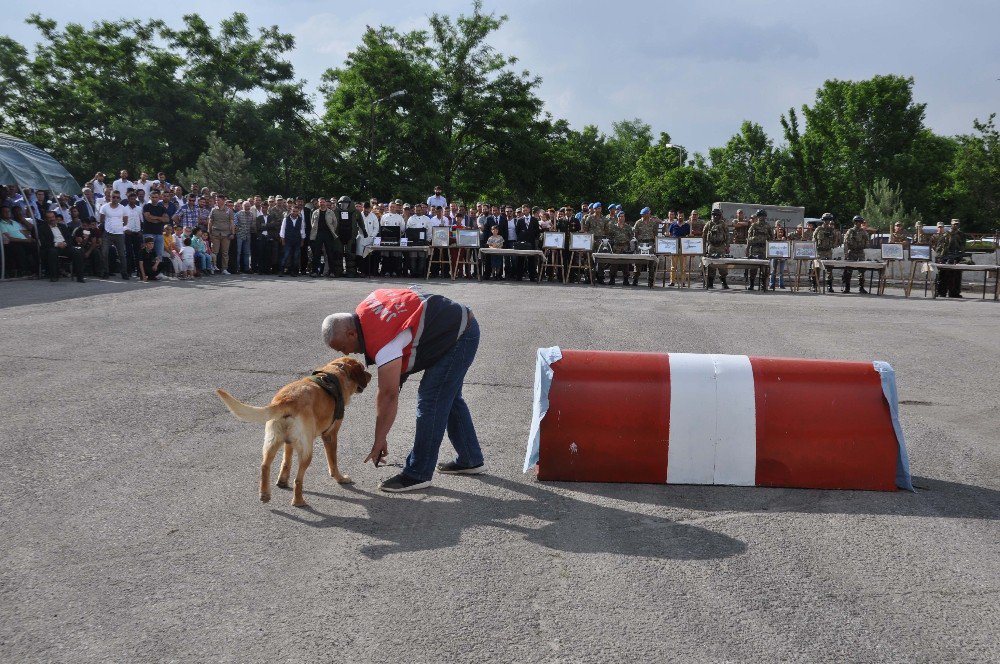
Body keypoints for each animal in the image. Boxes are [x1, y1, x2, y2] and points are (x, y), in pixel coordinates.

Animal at [215, 358, 372, 508]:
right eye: (362, 369)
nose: (371, 375)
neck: (337, 371)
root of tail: (286, 400)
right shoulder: (330, 435)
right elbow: (333, 462)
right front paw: (340, 479)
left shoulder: (288, 442)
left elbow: (286, 462)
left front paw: (282, 480)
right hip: (306, 451)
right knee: (298, 479)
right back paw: (298, 501)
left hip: (272, 442)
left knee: (265, 466)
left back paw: (265, 494)